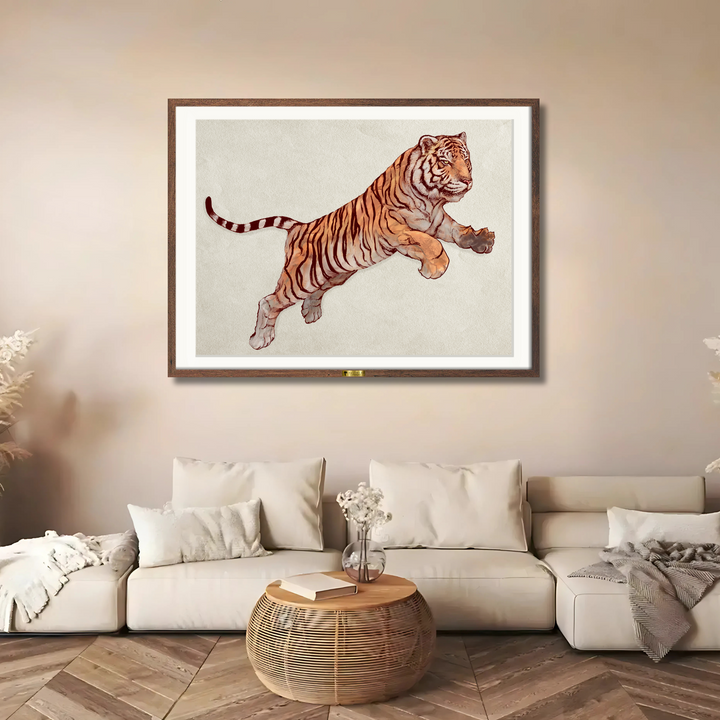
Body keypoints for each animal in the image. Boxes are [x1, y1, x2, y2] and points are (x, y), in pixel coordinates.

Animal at [205, 132, 495, 350]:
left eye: (466, 159)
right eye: (445, 161)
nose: (467, 180)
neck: (430, 200)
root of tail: (298, 227)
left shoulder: (437, 221)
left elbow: (457, 231)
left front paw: (481, 240)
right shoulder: (393, 227)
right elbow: (431, 243)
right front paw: (435, 268)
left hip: (334, 273)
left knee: (315, 292)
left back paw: (311, 314)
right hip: (301, 278)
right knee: (269, 301)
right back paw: (260, 339)